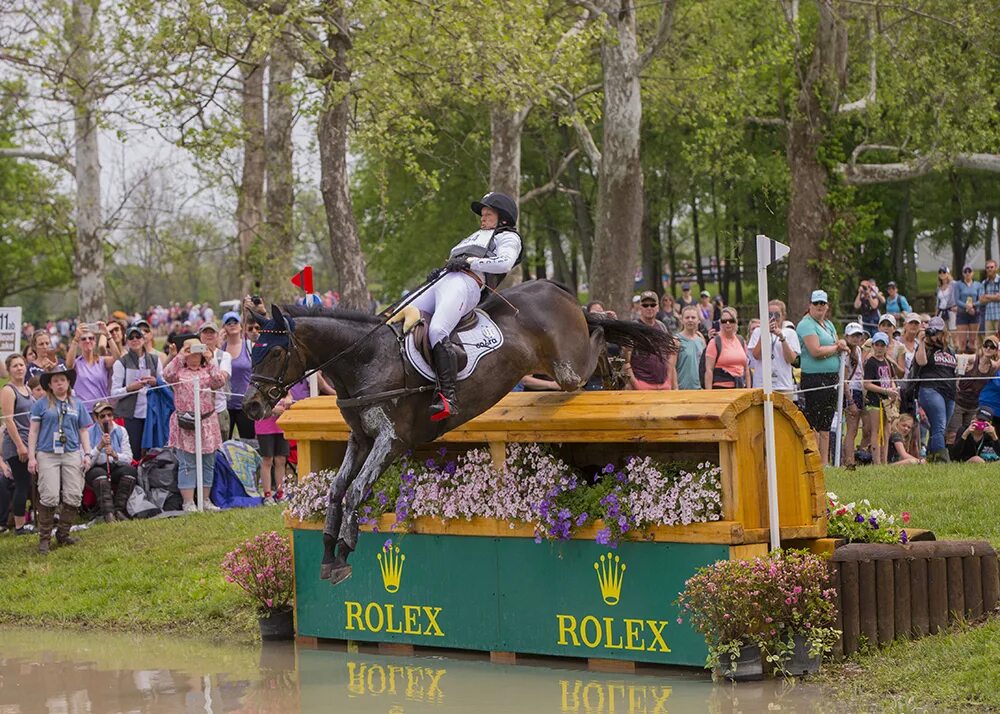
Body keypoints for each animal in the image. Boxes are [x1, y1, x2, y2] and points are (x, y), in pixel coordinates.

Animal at [244, 278, 672, 584]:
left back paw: (617, 371)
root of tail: (556, 288)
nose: (251, 406)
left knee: (598, 336)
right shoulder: (360, 439)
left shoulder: (391, 441)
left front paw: (346, 550)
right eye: (252, 349)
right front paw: (328, 553)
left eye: (275, 351)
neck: (365, 359)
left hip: (567, 366)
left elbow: (355, 492)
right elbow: (335, 491)